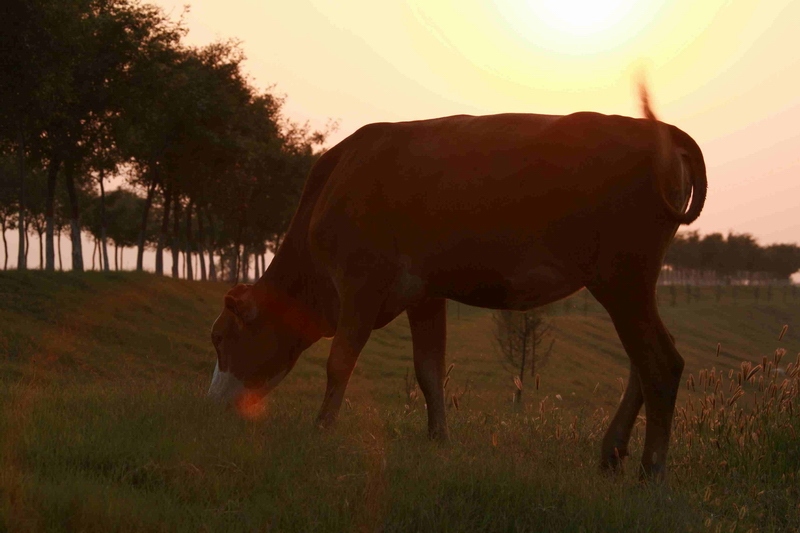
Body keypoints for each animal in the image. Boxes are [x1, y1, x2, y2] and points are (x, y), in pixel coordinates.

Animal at [211, 90, 708, 478]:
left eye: (220, 337)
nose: (211, 404)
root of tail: (663, 131)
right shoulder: (425, 293)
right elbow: (429, 370)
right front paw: (438, 440)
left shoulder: (360, 282)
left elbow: (340, 363)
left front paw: (321, 430)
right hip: (630, 285)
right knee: (641, 364)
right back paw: (612, 454)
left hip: (623, 279)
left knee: (661, 363)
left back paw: (651, 470)